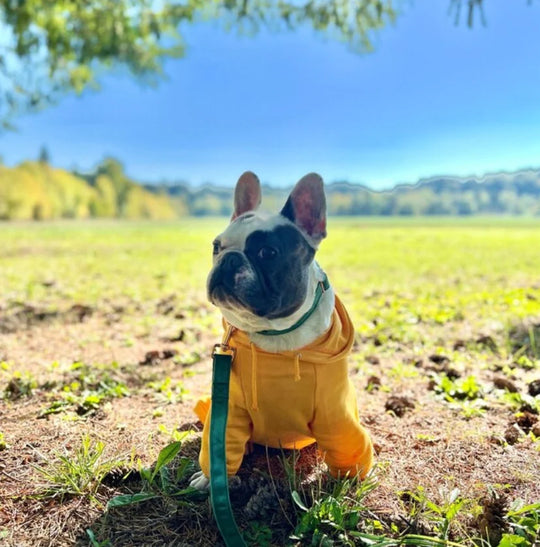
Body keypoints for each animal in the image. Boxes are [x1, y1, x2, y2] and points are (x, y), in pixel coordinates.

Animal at [192, 173, 374, 490]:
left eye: (268, 252)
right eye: (216, 246)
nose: (229, 258)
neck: (275, 335)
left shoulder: (335, 415)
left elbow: (346, 447)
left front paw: (346, 483)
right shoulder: (229, 410)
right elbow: (220, 446)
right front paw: (210, 479)